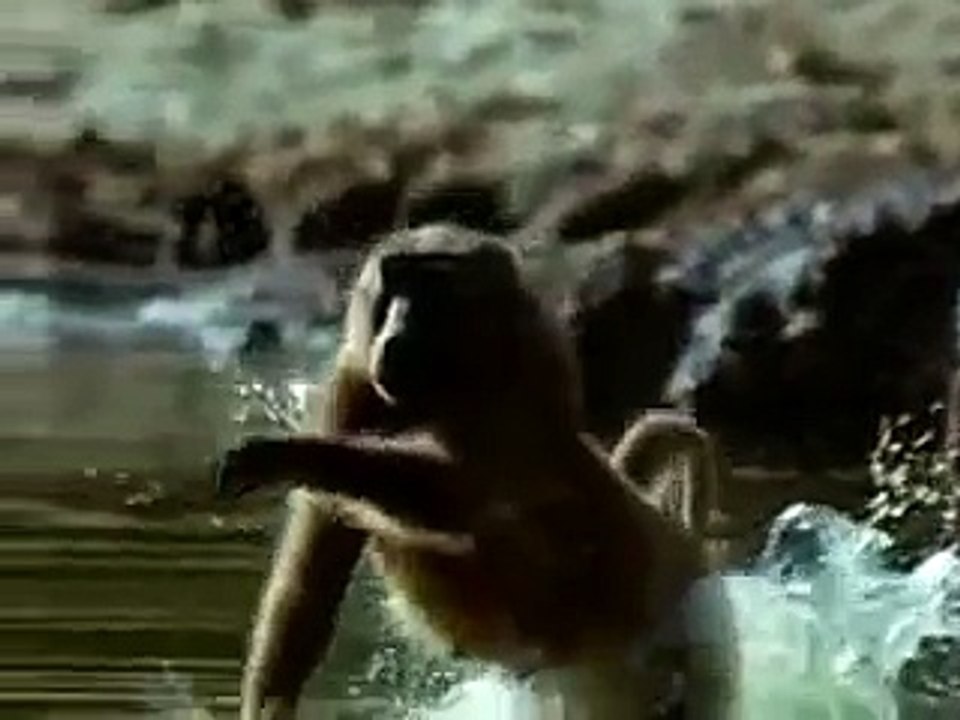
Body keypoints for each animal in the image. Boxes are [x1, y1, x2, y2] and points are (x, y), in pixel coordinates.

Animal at [217, 224, 739, 719]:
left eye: (432, 287)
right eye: (396, 284)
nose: (395, 335)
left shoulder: (528, 380)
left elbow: (470, 498)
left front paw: (289, 455)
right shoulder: (352, 387)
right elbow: (315, 563)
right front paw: (268, 705)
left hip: (683, 635)